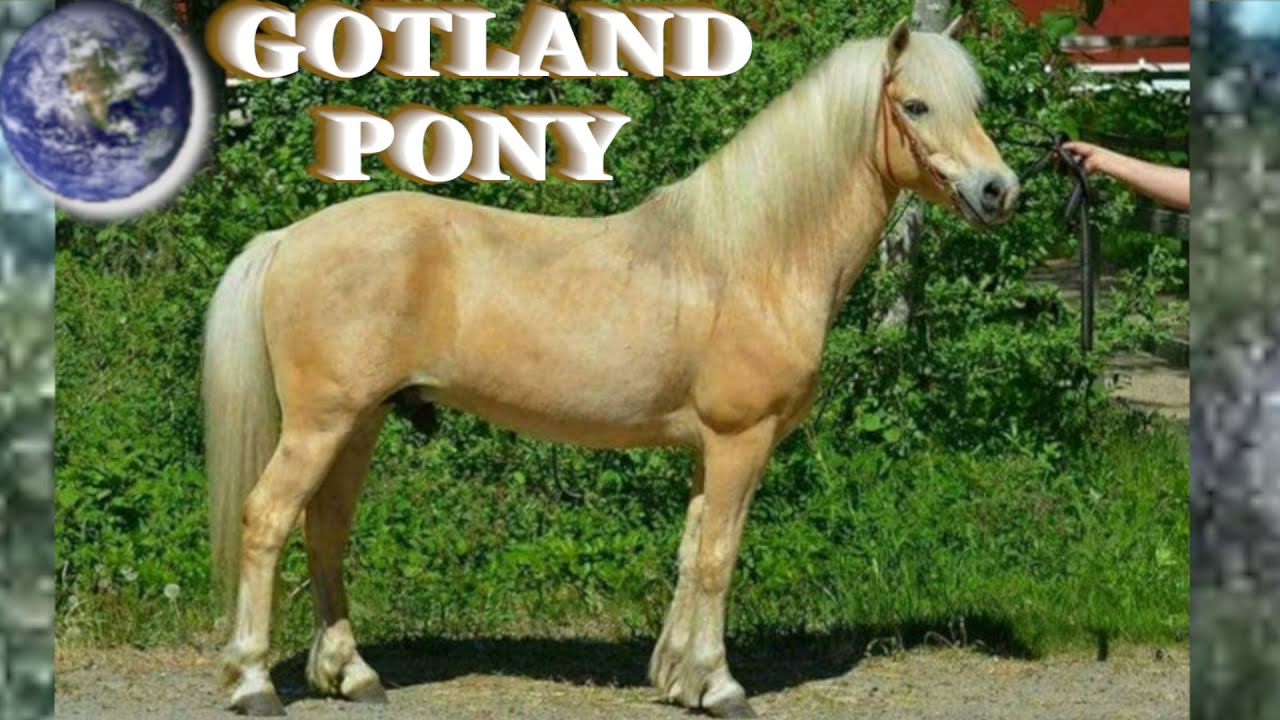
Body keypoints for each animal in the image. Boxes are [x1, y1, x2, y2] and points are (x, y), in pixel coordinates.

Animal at [203, 17, 1018, 718]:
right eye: (915, 105)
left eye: (974, 105)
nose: (998, 190)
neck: (753, 260)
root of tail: (287, 238)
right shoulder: (740, 439)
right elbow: (720, 557)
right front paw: (722, 686)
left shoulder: (706, 449)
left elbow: (691, 552)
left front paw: (681, 680)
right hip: (322, 424)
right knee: (267, 520)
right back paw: (254, 684)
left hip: (360, 423)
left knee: (325, 530)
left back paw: (352, 676)